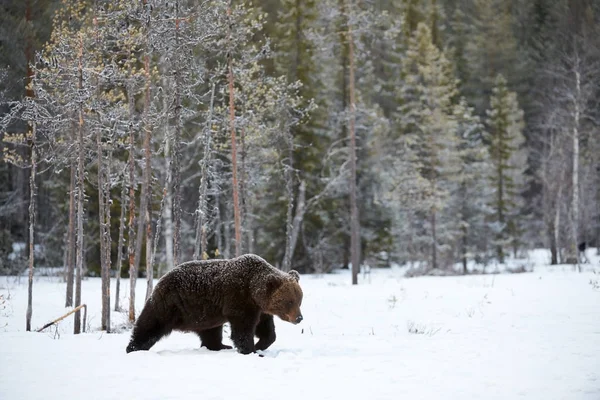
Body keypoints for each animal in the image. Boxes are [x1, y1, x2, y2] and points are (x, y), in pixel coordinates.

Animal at [126, 255, 304, 354]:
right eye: (289, 301)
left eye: (299, 299)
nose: (299, 318)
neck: (253, 292)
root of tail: (160, 281)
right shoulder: (239, 298)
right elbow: (243, 329)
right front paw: (251, 349)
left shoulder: (260, 309)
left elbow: (266, 330)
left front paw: (261, 344)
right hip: (170, 304)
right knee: (150, 325)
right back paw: (133, 348)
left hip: (205, 314)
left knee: (210, 332)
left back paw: (221, 346)